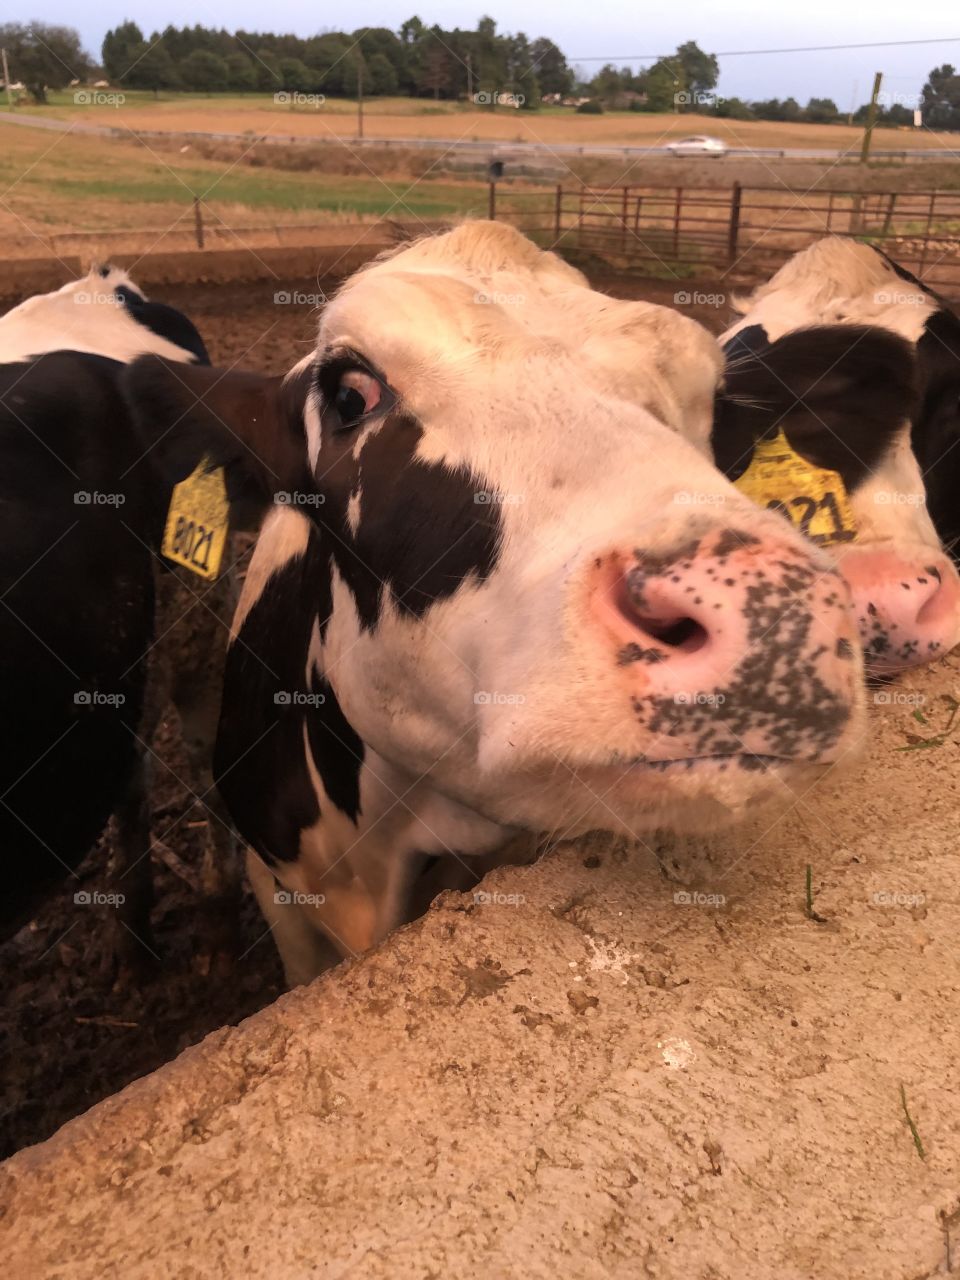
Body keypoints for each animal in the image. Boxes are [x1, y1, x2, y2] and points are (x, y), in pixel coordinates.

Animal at [0, 267, 239, 971]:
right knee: (132, 778)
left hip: (195, 621)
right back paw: (130, 942)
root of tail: (105, 284)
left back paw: (216, 932)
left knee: (203, 763)